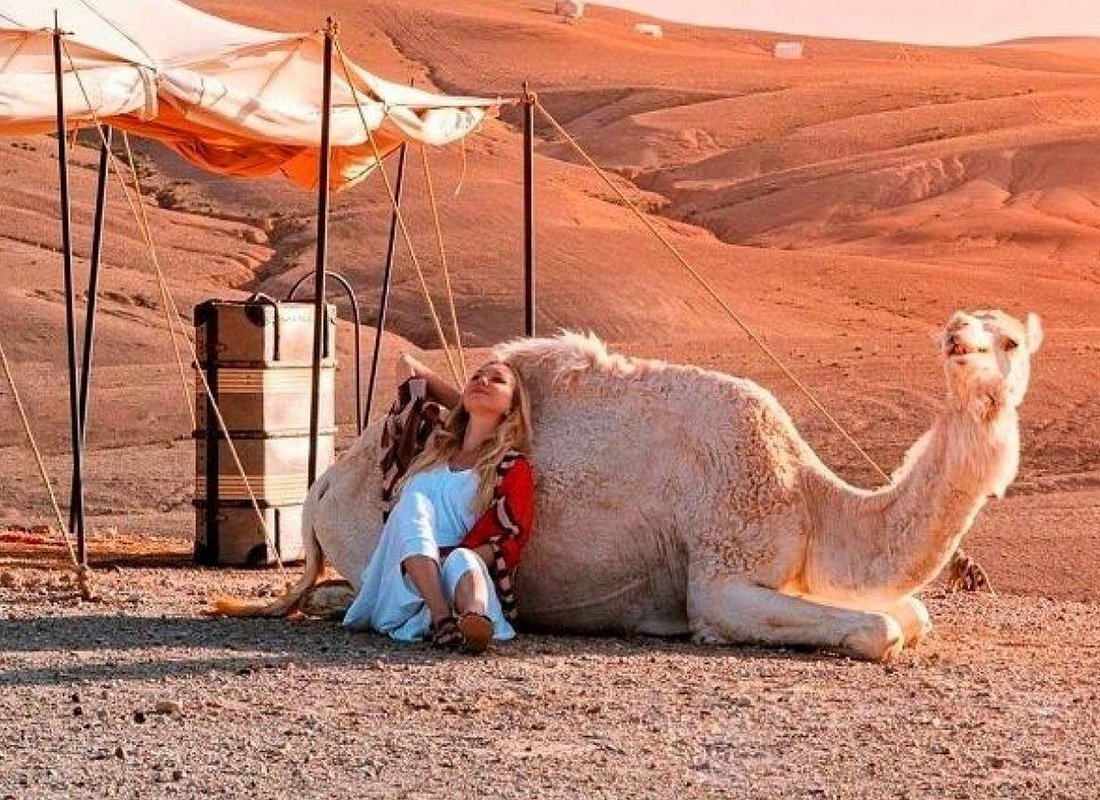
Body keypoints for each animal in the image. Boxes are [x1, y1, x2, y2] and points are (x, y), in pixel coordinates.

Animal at [219, 309, 1042, 661]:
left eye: (1007, 337)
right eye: (963, 327)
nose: (958, 341)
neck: (810, 503)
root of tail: (323, 487)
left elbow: (913, 615)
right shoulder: (721, 576)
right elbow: (881, 630)